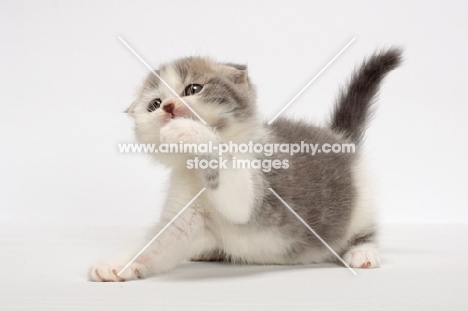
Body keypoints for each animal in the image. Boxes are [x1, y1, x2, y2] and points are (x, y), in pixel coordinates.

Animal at [89, 48, 400, 282]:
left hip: (361, 200)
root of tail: (340, 138)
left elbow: (230, 178)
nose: (168, 107)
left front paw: (190, 131)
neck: (194, 171)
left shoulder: (261, 191)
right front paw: (118, 264)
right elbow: (158, 245)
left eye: (193, 88)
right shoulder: (182, 219)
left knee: (365, 229)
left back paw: (363, 252)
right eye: (154, 104)